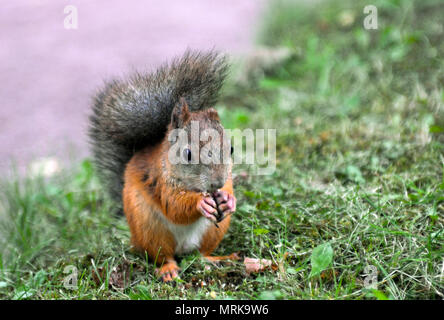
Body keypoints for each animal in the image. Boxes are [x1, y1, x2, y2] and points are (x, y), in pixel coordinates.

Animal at [88, 51, 238, 282]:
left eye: (231, 148)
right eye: (188, 154)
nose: (217, 182)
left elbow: (229, 190)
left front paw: (229, 200)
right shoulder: (159, 179)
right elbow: (174, 206)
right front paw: (200, 203)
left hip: (215, 231)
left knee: (201, 254)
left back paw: (216, 259)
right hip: (149, 229)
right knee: (163, 255)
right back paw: (168, 270)